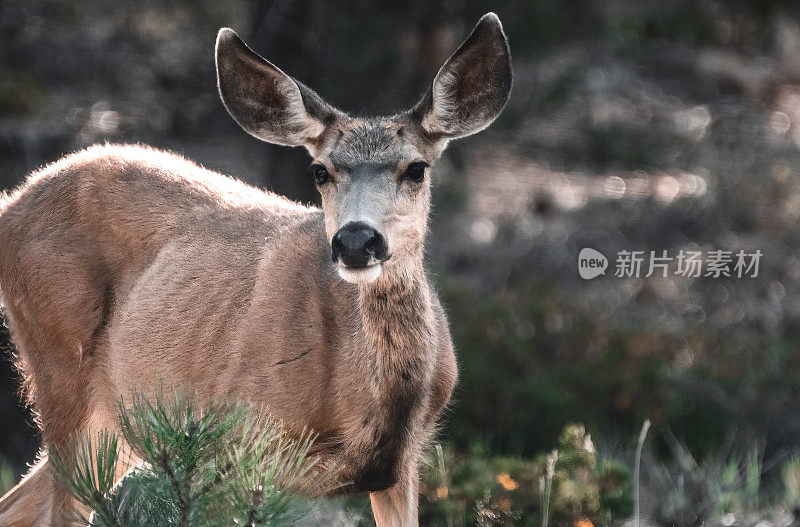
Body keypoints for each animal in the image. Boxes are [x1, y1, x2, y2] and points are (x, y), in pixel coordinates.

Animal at [0, 13, 512, 527]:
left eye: (416, 169)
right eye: (320, 172)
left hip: (115, 418)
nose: (355, 241)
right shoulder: (254, 438)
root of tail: (10, 204)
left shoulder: (401, 463)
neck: (370, 405)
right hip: (58, 362)